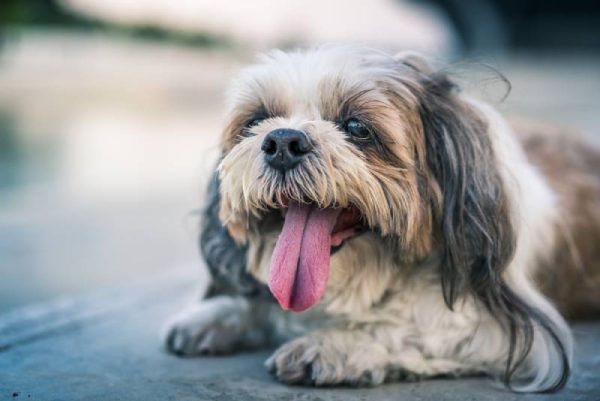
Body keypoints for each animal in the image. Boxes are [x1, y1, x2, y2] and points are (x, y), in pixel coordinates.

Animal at [163, 46, 600, 390]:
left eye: (357, 126)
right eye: (256, 121)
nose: (283, 140)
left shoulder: (505, 330)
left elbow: (416, 328)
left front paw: (336, 343)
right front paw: (217, 315)